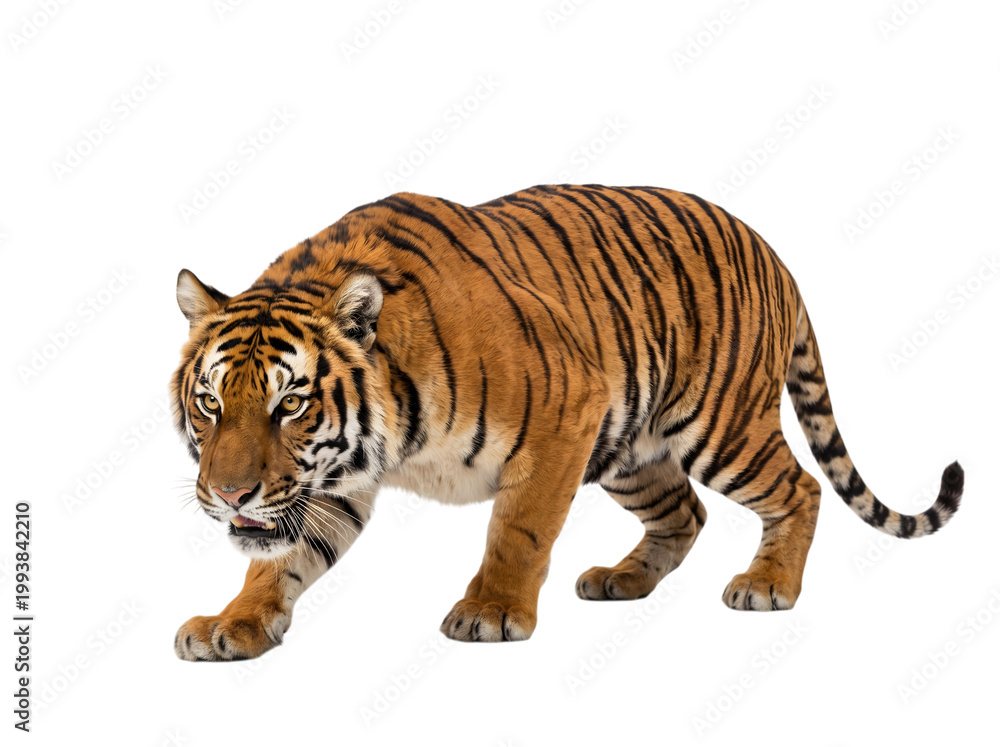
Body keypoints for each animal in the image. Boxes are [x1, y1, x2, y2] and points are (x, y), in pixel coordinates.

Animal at [171, 184, 963, 661]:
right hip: (633, 453)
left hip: (719, 426)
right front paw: (233, 622)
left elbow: (517, 530)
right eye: (211, 402)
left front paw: (491, 612)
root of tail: (774, 253)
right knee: (686, 513)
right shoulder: (330, 481)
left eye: (291, 404)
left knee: (801, 487)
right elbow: (279, 559)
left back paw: (768, 585)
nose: (231, 495)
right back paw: (621, 578)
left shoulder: (564, 417)